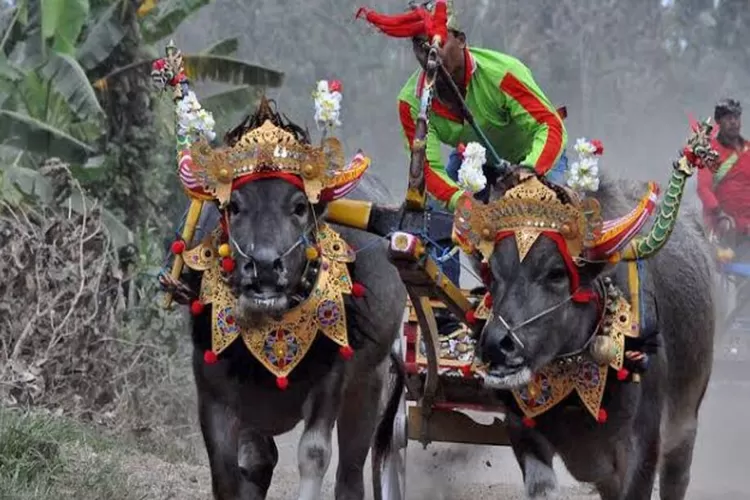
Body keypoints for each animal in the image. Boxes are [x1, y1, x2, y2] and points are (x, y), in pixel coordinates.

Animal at [478, 173, 712, 500]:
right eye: (493, 272)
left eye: (556, 273)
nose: (496, 345)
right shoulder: (522, 429)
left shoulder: (643, 447)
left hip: (684, 428)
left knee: (676, 479)